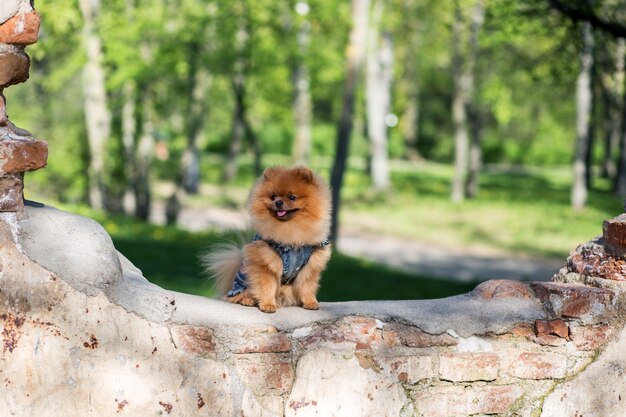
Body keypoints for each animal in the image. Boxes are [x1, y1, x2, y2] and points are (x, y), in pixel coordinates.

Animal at [204, 166, 332, 312]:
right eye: (273, 197)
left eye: (292, 197)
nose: (278, 202)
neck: (290, 230)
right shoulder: (266, 264)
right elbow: (267, 287)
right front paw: (268, 305)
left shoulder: (310, 265)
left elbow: (307, 287)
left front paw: (310, 303)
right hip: (244, 284)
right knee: (240, 296)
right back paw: (248, 300)